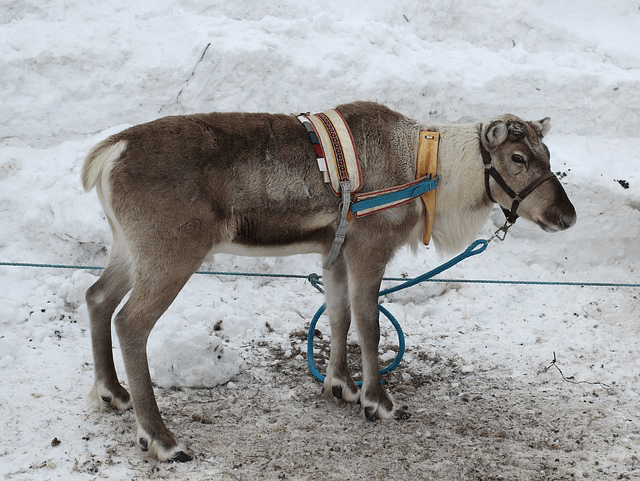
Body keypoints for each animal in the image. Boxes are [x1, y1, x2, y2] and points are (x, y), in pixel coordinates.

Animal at [81, 101, 576, 462]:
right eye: (517, 157)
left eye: (548, 155)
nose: (567, 216)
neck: (434, 175)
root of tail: (107, 155)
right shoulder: (370, 247)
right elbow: (370, 326)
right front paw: (379, 401)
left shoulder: (333, 252)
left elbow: (339, 316)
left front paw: (341, 385)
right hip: (170, 253)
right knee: (131, 322)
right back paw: (162, 439)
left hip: (127, 247)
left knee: (97, 296)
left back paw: (112, 393)